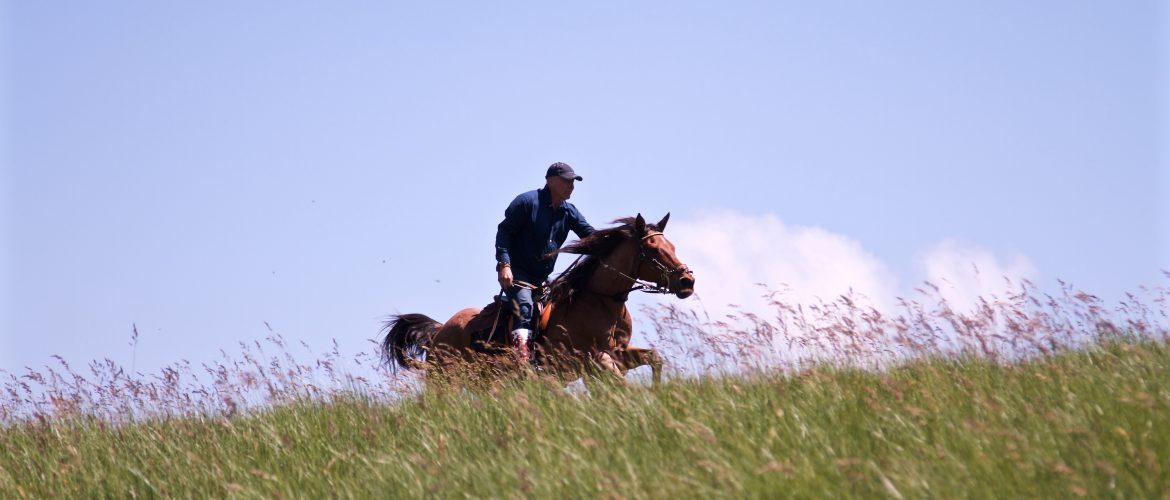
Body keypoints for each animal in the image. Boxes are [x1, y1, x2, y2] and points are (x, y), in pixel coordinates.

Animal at [381, 213, 692, 386]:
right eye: (652, 249)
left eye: (672, 246)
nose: (687, 280)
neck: (599, 301)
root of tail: (440, 330)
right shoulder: (593, 358)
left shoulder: (619, 353)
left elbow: (654, 359)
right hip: (445, 380)